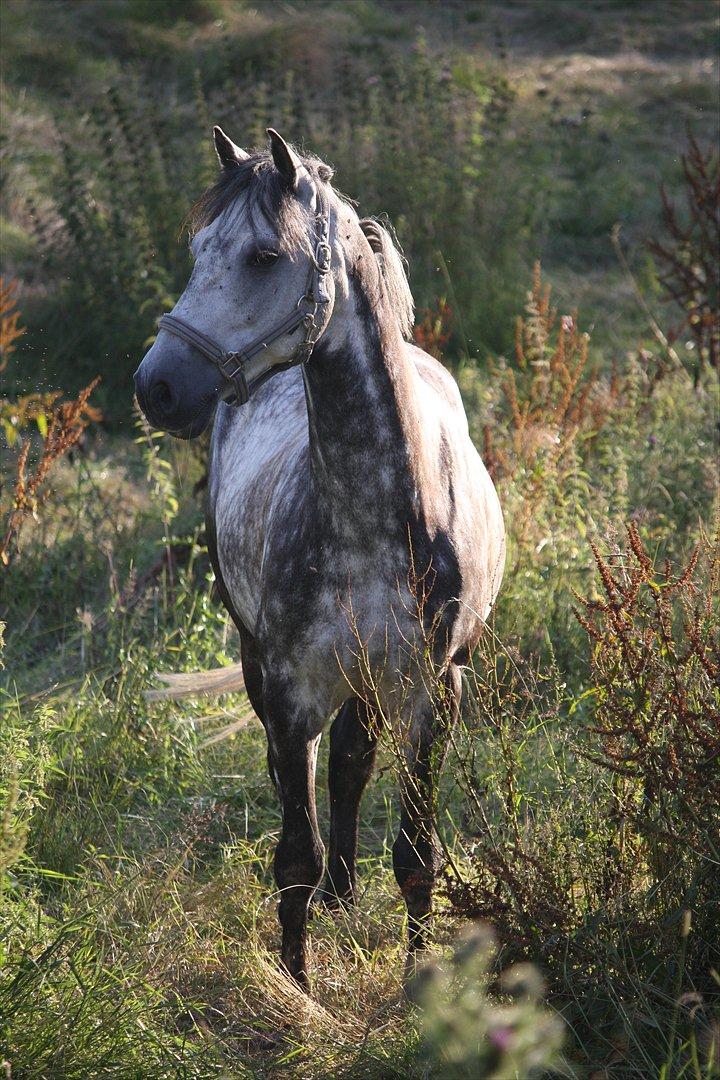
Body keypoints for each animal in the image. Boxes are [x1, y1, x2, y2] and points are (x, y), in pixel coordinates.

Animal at [134, 126, 507, 989]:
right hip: (262, 661)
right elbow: (293, 858)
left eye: (265, 255)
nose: (155, 387)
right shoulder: (290, 690)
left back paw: (346, 891)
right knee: (318, 773)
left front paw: (416, 983)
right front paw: (299, 991)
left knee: (350, 760)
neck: (379, 515)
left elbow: (415, 856)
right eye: (198, 247)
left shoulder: (434, 692)